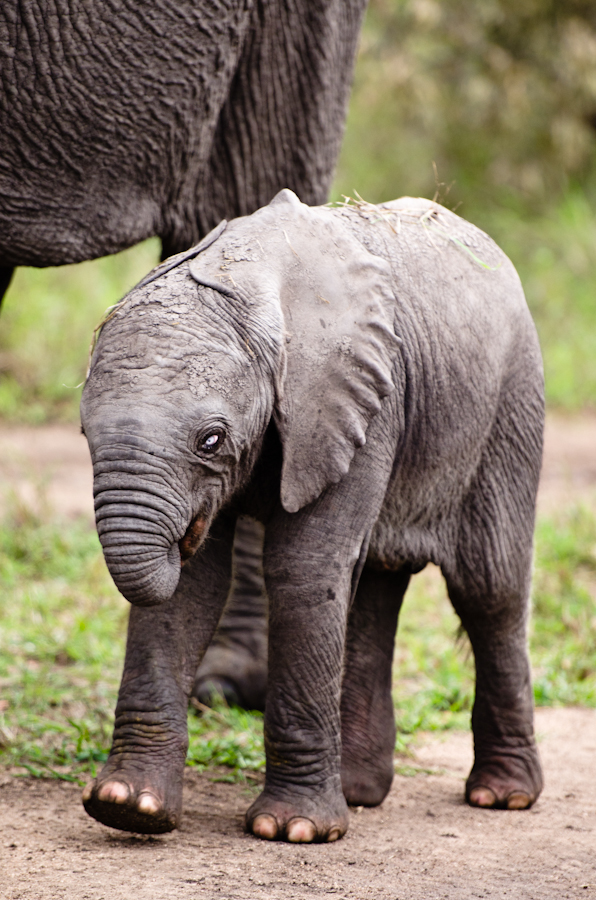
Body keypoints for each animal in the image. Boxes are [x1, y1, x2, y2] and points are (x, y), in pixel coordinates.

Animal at [80, 189, 544, 842]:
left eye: (211, 440)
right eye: (84, 435)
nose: (183, 533)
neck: (242, 289)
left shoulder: (363, 397)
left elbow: (303, 570)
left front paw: (292, 830)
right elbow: (193, 589)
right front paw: (128, 808)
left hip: (511, 403)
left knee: (489, 588)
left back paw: (502, 797)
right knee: (376, 585)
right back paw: (359, 792)